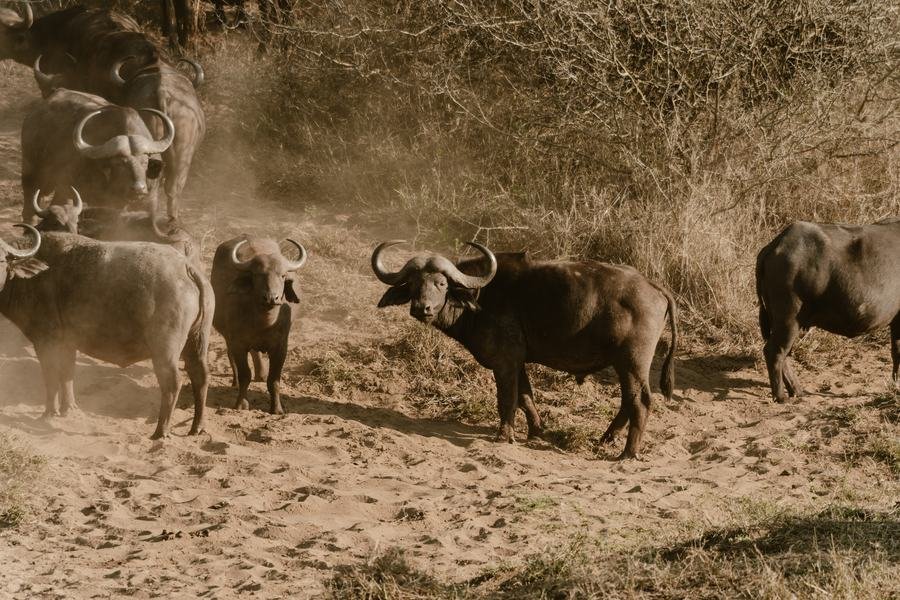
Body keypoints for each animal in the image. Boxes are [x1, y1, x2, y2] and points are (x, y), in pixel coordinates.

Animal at [0, 232, 213, 439]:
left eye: (1, 260)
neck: (31, 280)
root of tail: (186, 267)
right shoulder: (67, 344)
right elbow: (67, 375)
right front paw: (69, 410)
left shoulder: (45, 341)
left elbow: (51, 377)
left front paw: (48, 414)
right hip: (198, 339)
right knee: (200, 375)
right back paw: (197, 427)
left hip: (165, 349)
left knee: (172, 383)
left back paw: (161, 432)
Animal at [21, 88, 173, 223]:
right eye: (119, 163)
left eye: (145, 162)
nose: (138, 189)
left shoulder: (149, 201)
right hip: (32, 173)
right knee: (31, 207)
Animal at [211, 236, 307, 415]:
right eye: (258, 275)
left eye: (282, 275)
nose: (271, 298)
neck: (264, 323)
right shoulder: (238, 343)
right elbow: (245, 375)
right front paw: (241, 404)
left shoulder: (281, 347)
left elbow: (274, 380)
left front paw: (276, 408)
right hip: (227, 336)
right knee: (231, 355)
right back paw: (235, 381)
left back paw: (261, 374)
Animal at [372, 241, 677, 459]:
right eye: (413, 284)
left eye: (441, 283)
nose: (421, 308)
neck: (481, 298)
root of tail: (653, 286)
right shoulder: (518, 362)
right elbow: (526, 397)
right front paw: (536, 432)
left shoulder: (504, 362)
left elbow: (507, 399)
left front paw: (504, 435)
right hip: (623, 365)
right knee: (628, 401)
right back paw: (606, 439)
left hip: (632, 362)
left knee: (641, 402)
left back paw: (627, 453)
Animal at [756, 219, 900, 402]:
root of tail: (774, 246)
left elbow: (896, 351)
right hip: (788, 319)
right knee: (774, 352)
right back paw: (781, 396)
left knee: (783, 354)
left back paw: (796, 390)